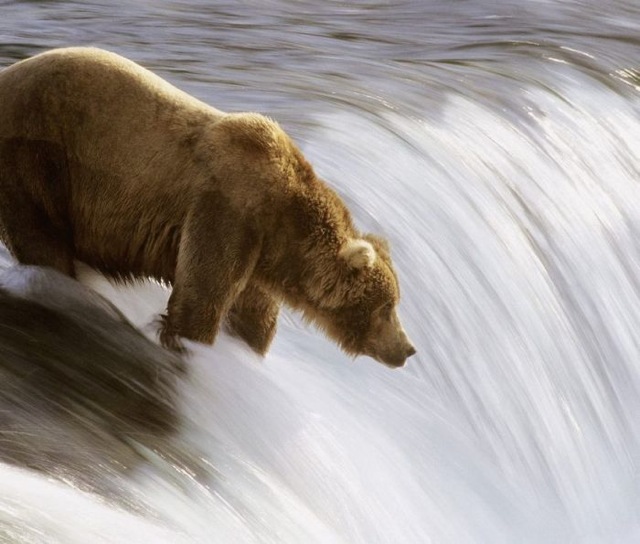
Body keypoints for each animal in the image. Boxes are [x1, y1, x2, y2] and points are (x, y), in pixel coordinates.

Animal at [0, 47, 416, 368]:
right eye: (386, 306)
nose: (408, 349)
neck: (284, 223)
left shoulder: (260, 255)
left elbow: (253, 316)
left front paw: (247, 348)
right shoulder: (227, 210)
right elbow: (201, 298)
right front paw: (189, 345)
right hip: (36, 156)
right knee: (43, 239)